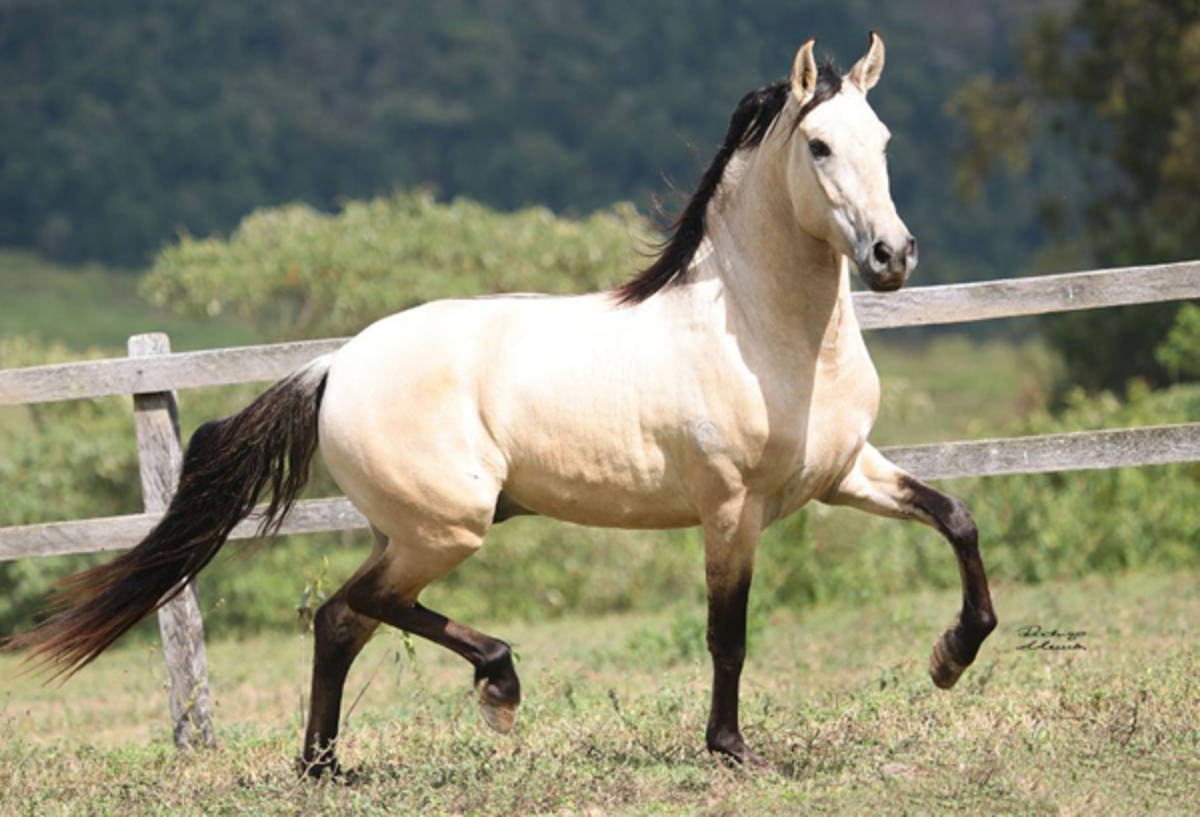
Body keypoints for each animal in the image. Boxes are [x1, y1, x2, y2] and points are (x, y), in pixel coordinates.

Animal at [9, 31, 993, 772]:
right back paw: (498, 686)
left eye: (885, 139)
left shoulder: (844, 474)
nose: (892, 256)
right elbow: (729, 634)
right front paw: (730, 749)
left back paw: (325, 764)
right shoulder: (730, 507)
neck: (759, 330)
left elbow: (957, 517)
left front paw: (950, 657)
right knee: (362, 606)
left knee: (340, 618)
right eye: (819, 147)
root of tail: (334, 364)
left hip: (411, 529)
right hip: (450, 524)